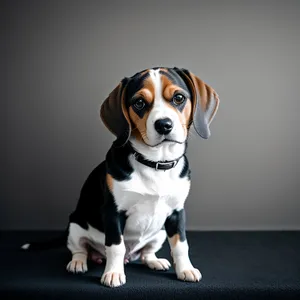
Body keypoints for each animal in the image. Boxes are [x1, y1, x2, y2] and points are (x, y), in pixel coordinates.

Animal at [22, 67, 219, 288]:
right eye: (139, 103)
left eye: (178, 98)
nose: (164, 125)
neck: (155, 163)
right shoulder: (113, 212)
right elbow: (116, 246)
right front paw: (114, 273)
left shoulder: (177, 213)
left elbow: (180, 245)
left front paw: (185, 269)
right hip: (75, 225)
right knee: (80, 249)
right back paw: (78, 263)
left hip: (159, 232)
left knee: (146, 253)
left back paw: (154, 261)